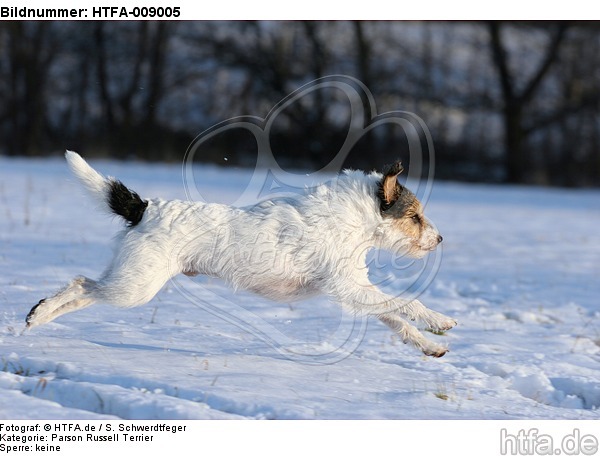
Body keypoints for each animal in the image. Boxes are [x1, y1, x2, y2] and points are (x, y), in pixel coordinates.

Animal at [25, 151, 458, 358]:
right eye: (415, 217)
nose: (440, 239)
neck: (357, 217)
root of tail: (146, 207)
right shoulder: (348, 287)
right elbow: (405, 302)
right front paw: (440, 320)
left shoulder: (355, 290)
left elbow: (396, 318)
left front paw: (430, 345)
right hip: (135, 287)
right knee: (82, 284)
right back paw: (40, 312)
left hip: (129, 281)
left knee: (85, 290)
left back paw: (41, 317)